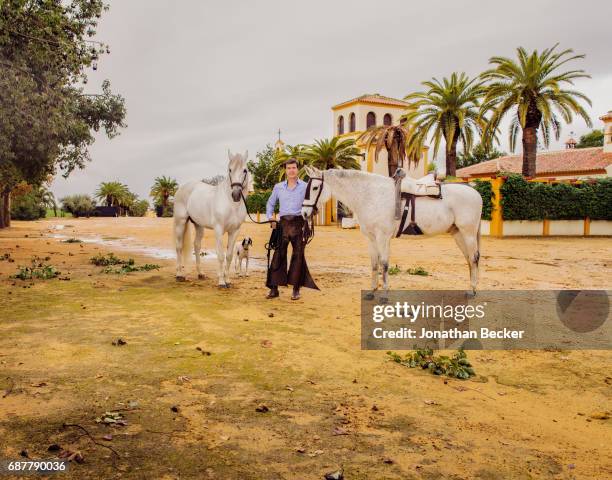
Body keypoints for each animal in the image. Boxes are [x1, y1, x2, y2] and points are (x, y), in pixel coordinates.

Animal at [172, 151, 249, 284]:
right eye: (230, 169)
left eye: (245, 170)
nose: (236, 194)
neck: (231, 204)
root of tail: (183, 187)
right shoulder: (218, 229)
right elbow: (221, 255)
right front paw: (221, 282)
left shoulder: (235, 231)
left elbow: (229, 256)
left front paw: (228, 280)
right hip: (180, 222)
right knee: (179, 247)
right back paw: (179, 274)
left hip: (198, 225)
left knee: (197, 246)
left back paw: (200, 273)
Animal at [302, 168, 482, 296]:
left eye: (315, 187)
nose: (304, 213)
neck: (370, 196)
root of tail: (475, 192)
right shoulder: (371, 238)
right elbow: (374, 263)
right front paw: (372, 291)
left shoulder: (382, 237)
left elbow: (384, 263)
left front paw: (384, 294)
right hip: (458, 233)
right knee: (469, 258)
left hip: (468, 233)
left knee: (473, 258)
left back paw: (472, 290)